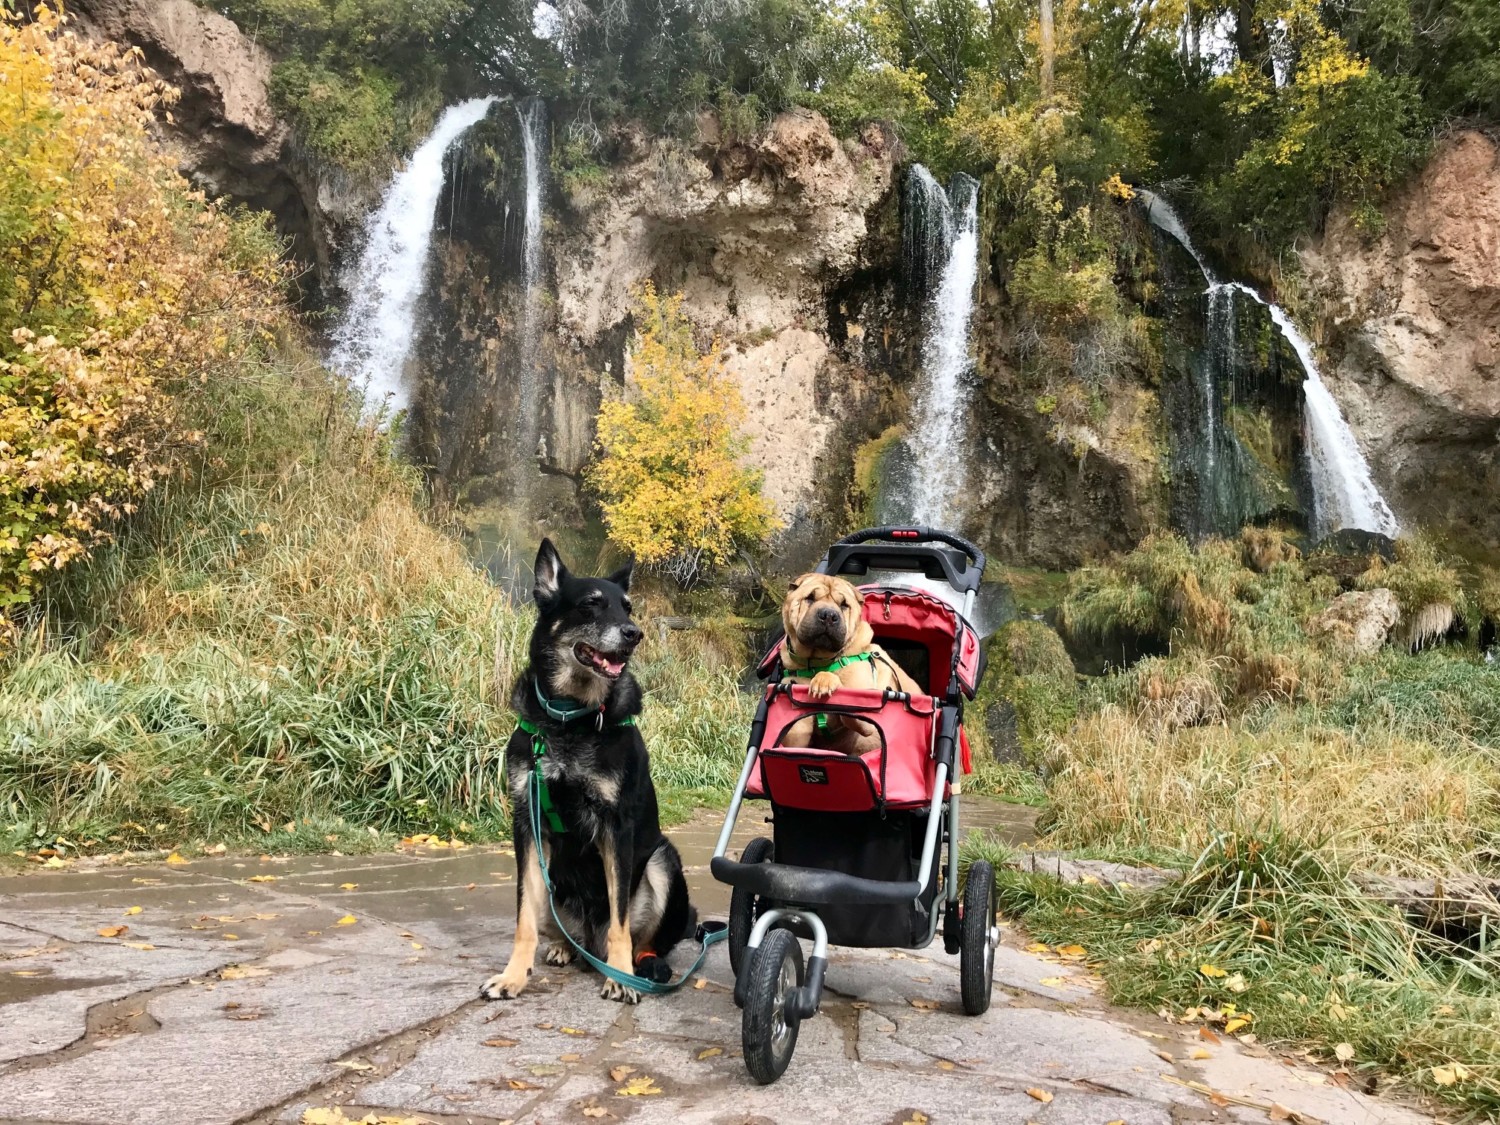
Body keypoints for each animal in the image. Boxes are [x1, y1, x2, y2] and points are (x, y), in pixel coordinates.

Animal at [480, 540, 690, 1002]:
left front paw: (620, 976)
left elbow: (620, 921)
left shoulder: (617, 827)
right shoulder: (527, 826)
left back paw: (640, 967)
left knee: (641, 937)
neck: (569, 719)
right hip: (549, 875)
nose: (633, 634)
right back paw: (564, 947)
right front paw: (512, 976)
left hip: (663, 860)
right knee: (559, 928)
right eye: (591, 604)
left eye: (628, 607)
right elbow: (523, 918)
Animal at [780, 576, 918, 753]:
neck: (815, 663)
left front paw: (824, 680)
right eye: (810, 598)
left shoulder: (866, 712)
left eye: (844, 605)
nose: (828, 615)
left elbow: (848, 702)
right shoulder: (796, 734)